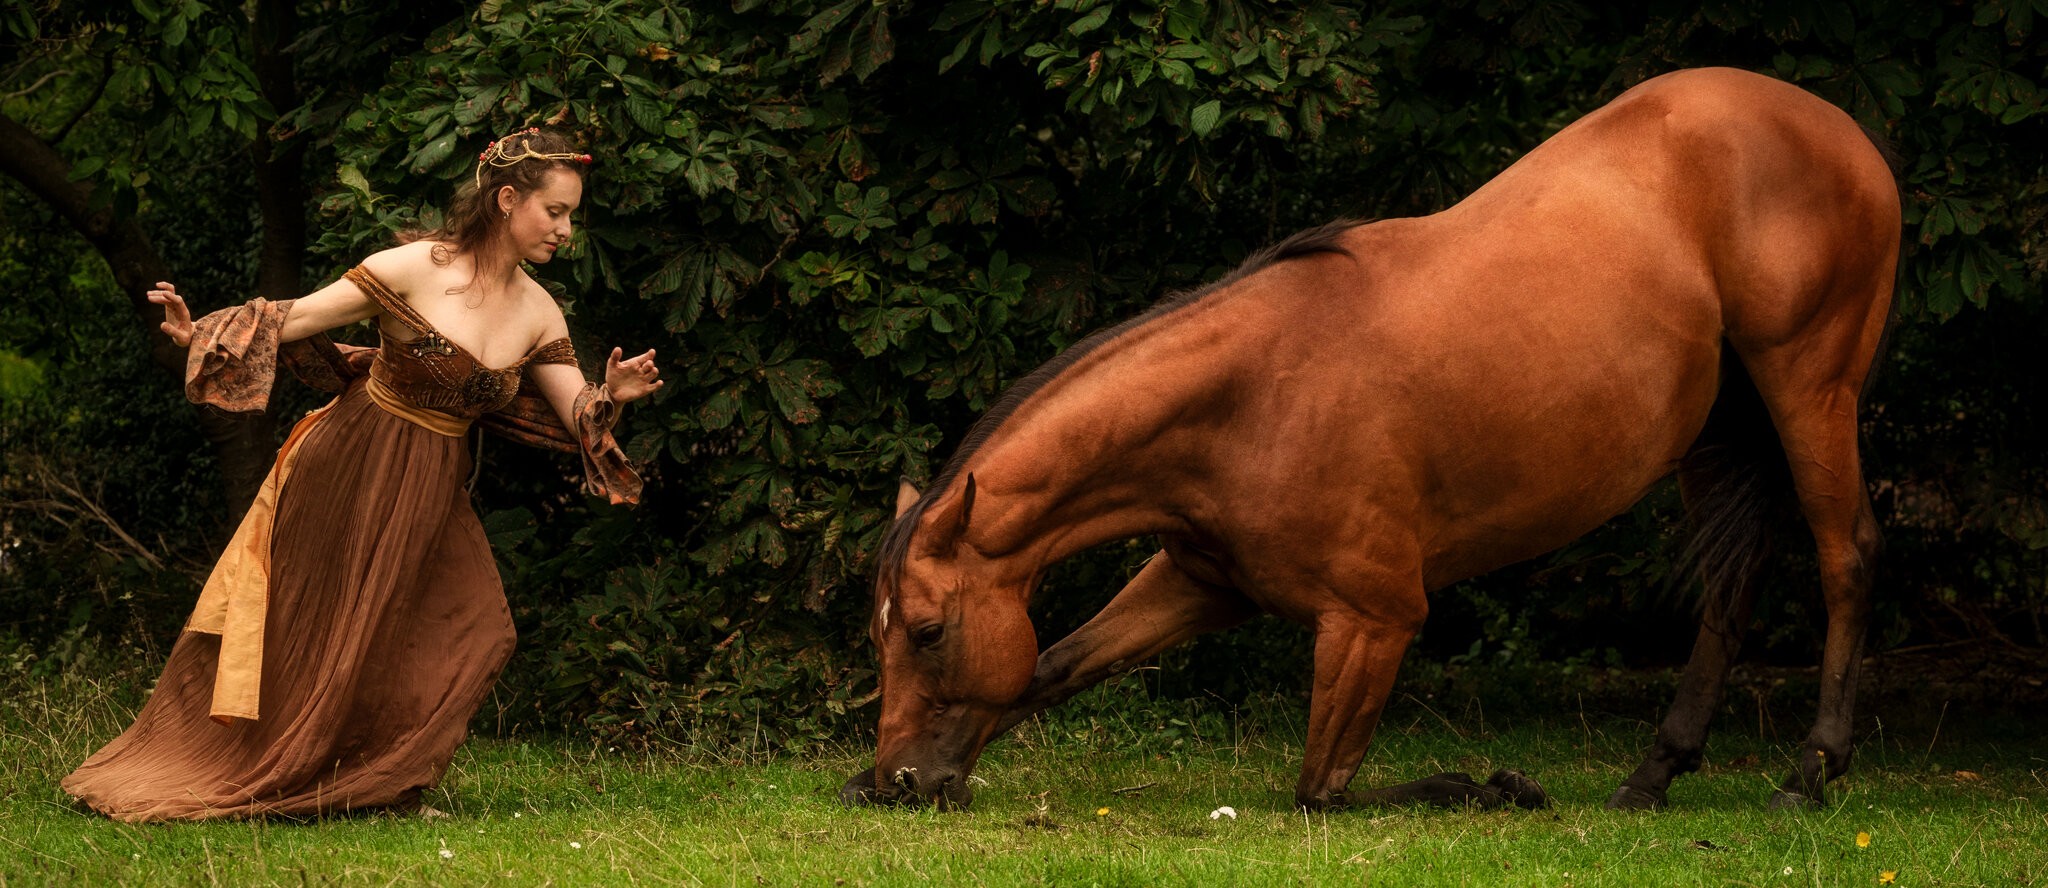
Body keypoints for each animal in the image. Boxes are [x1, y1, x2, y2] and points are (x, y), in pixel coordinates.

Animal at [839, 67, 1892, 810]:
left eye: (927, 631)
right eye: (880, 636)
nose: (900, 782)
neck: (1248, 402)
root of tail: (1842, 131)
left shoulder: (1373, 621)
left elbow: (1321, 792)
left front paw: (1495, 787)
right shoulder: (1200, 581)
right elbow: (1055, 666)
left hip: (1809, 390)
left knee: (1846, 556)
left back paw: (1810, 771)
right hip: (1718, 435)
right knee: (1730, 589)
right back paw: (1655, 774)